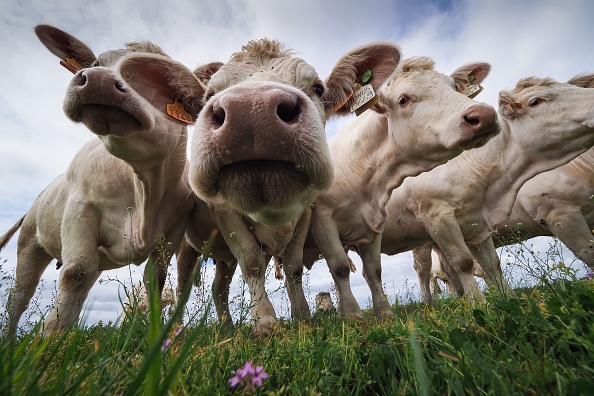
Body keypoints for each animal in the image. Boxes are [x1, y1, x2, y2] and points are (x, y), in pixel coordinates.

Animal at [1, 24, 209, 336]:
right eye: (97, 63)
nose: (98, 81)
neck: (141, 185)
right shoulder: (80, 210)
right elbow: (74, 274)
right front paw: (49, 341)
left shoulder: (172, 231)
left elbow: (154, 281)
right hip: (29, 244)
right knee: (19, 299)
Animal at [186, 38, 398, 334]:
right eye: (209, 94)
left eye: (318, 88)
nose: (251, 109)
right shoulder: (224, 213)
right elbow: (251, 262)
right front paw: (264, 321)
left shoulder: (307, 215)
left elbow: (294, 267)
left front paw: (304, 317)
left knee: (219, 287)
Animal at [376, 72, 594, 304]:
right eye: (536, 101)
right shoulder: (559, 213)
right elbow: (463, 262)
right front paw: (478, 305)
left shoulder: (476, 225)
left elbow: (492, 265)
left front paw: (507, 300)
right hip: (420, 242)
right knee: (424, 272)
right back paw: (430, 305)